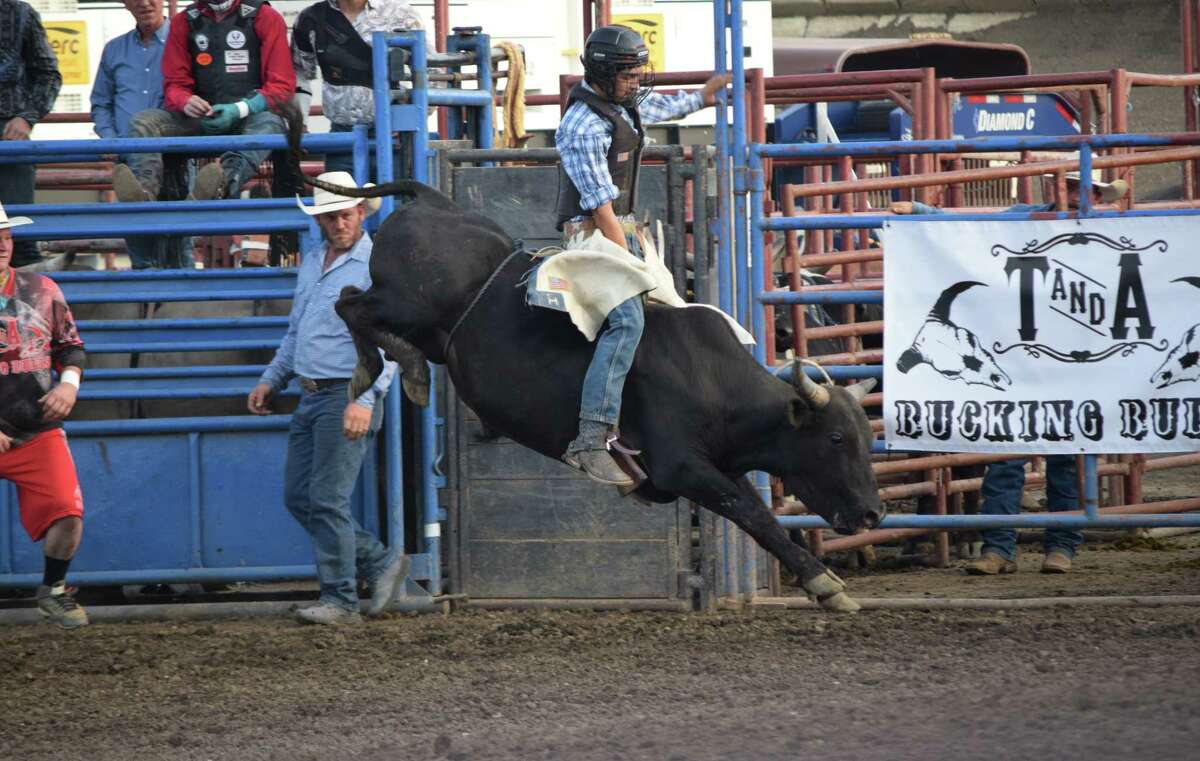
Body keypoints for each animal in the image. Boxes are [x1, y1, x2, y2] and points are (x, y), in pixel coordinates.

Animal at [304, 175, 883, 607]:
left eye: (867, 439)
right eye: (835, 439)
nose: (873, 515)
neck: (710, 378)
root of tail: (432, 201)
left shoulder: (716, 466)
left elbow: (754, 511)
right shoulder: (681, 466)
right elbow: (754, 514)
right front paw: (824, 582)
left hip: (426, 327)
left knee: (357, 303)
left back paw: (408, 369)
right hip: (405, 302)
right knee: (349, 303)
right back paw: (393, 370)